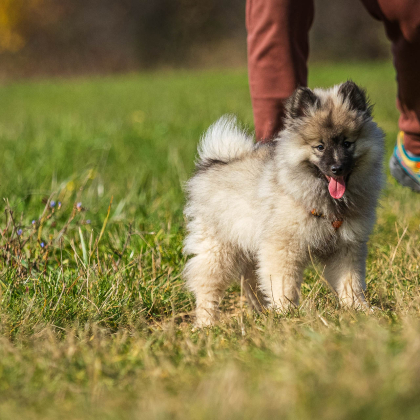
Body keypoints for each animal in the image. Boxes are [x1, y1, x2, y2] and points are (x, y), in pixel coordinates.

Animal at [184, 80, 384, 326]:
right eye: (320, 147)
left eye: (347, 144)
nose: (337, 168)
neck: (326, 201)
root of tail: (213, 162)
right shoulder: (283, 247)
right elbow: (284, 285)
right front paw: (287, 314)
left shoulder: (347, 247)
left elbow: (351, 282)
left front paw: (360, 309)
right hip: (218, 249)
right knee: (207, 286)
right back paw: (207, 323)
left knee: (251, 281)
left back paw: (261, 312)